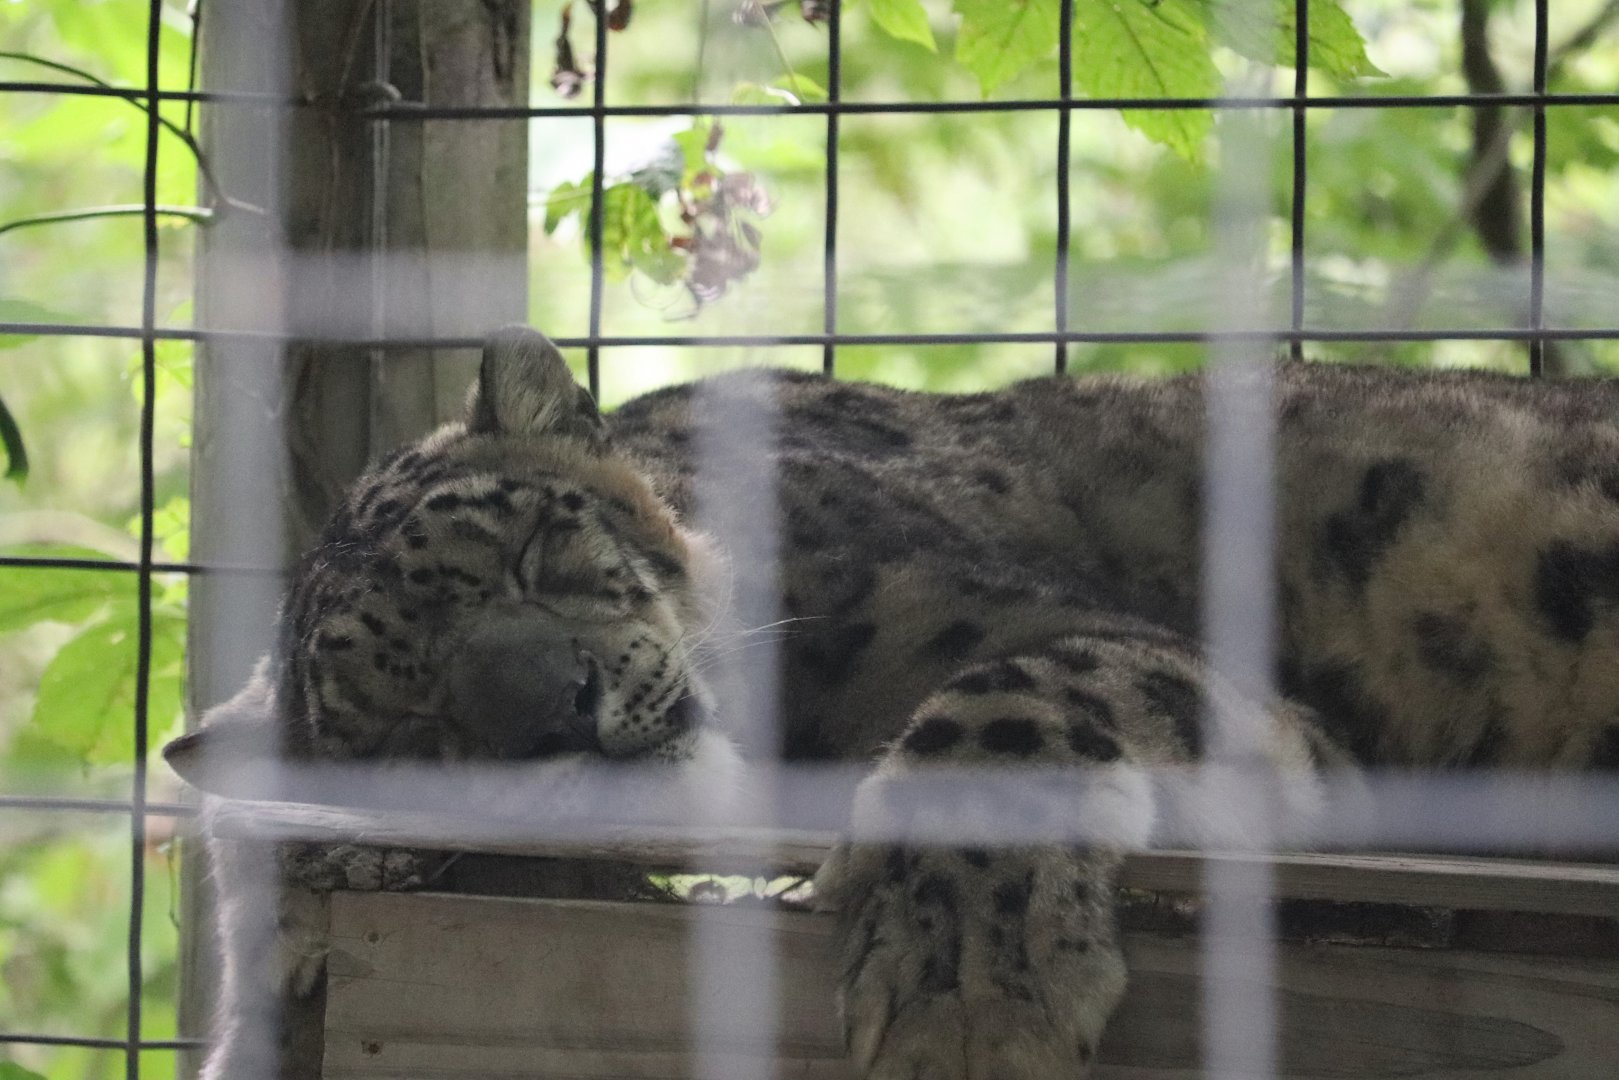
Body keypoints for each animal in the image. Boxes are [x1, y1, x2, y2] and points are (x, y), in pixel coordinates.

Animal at [166, 325, 1619, 1080]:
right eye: (412, 730)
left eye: (532, 546)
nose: (558, 708)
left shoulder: (1051, 636)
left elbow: (1010, 708)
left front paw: (964, 989)